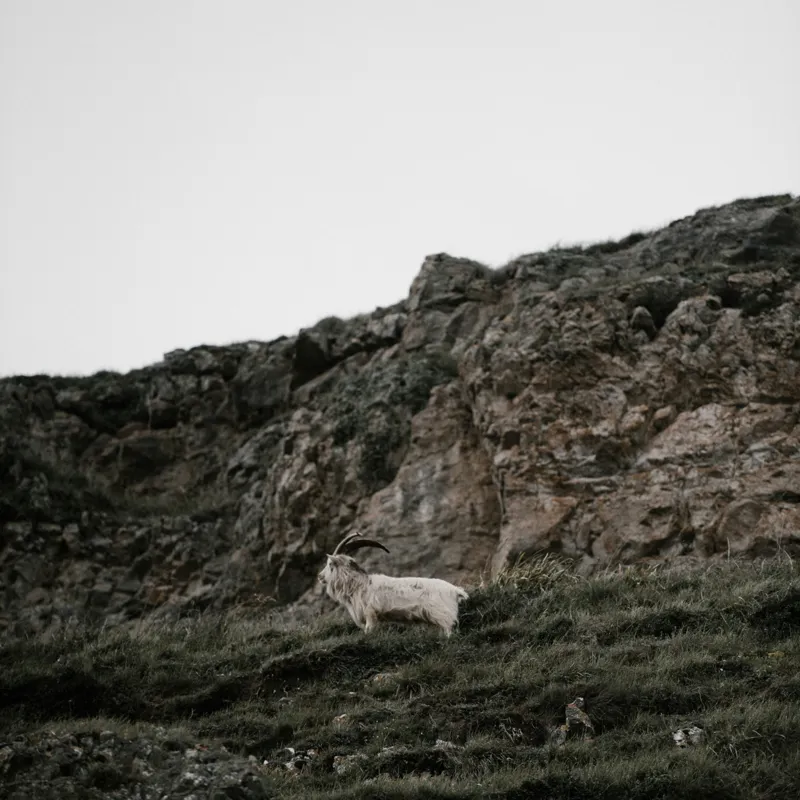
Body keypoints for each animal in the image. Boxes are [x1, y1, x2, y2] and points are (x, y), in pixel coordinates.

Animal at [317, 532, 469, 637]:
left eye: (330, 564)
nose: (319, 576)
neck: (359, 584)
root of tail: (455, 591)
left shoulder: (370, 613)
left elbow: (369, 630)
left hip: (444, 616)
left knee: (449, 631)